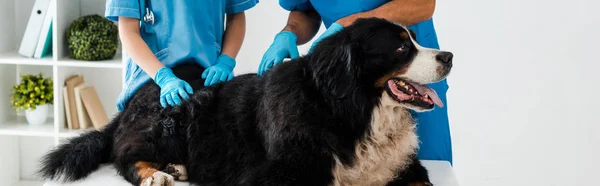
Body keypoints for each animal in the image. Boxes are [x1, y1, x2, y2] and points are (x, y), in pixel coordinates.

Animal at [41, 17, 454, 186]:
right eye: (400, 47)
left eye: (414, 39)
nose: (449, 56)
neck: (351, 113)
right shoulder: (280, 173)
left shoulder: (403, 166)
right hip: (172, 116)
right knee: (125, 155)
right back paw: (156, 174)